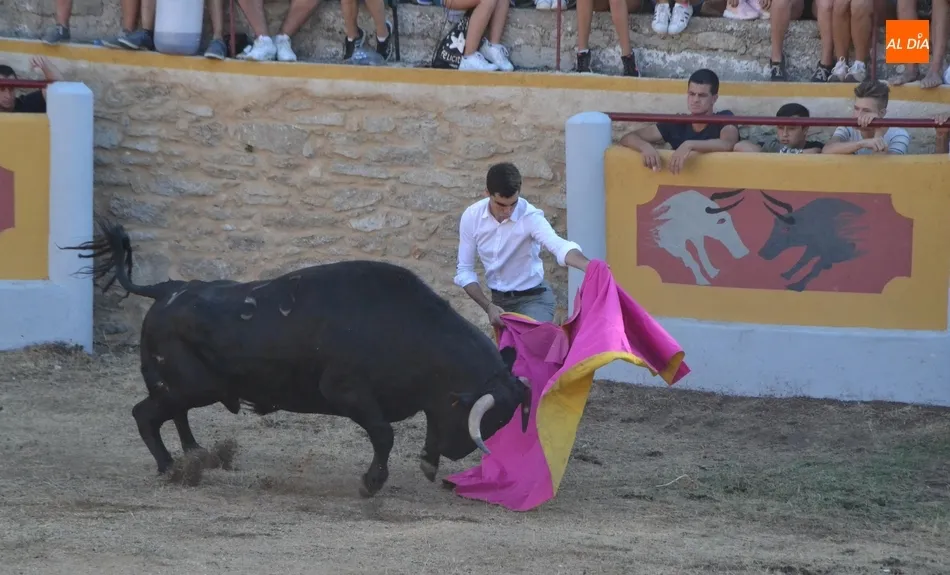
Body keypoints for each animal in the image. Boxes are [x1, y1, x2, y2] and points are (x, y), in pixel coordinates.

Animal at [63, 218, 532, 498]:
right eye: (487, 418)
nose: (457, 453)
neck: (413, 330)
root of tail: (167, 289)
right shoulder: (347, 392)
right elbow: (384, 435)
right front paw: (371, 483)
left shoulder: (424, 403)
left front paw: (423, 465)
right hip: (189, 385)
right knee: (145, 414)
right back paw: (170, 468)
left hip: (186, 386)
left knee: (173, 415)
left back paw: (197, 455)